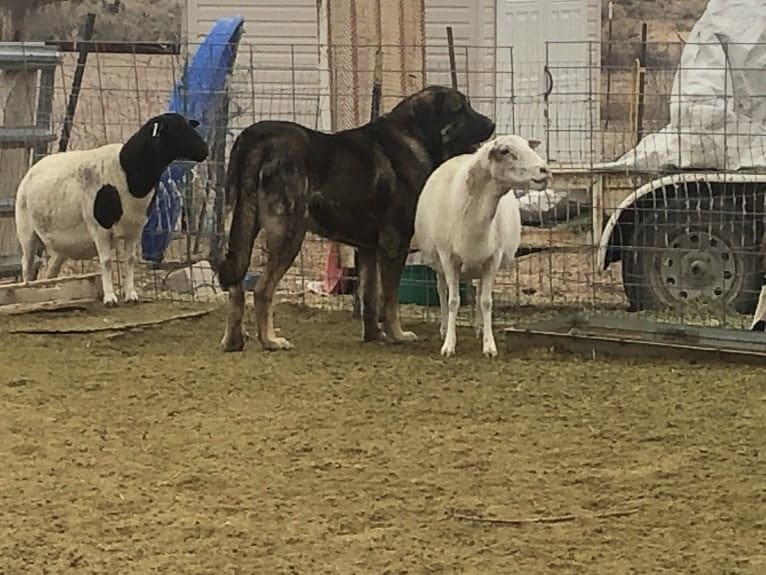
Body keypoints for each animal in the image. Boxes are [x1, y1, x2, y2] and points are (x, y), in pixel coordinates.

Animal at [15, 112, 207, 306]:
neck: (129, 172)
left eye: (189, 126)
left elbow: (129, 260)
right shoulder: (99, 228)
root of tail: (35, 167)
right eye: (175, 130)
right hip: (26, 231)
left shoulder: (135, 228)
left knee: (51, 271)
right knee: (27, 265)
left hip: (60, 245)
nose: (205, 150)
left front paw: (131, 294)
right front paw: (109, 298)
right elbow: (107, 262)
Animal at [214, 84, 498, 352]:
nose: (492, 124)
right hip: (289, 234)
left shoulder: (368, 249)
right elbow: (389, 298)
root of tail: (257, 137)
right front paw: (397, 334)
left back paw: (233, 341)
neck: (415, 136)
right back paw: (270, 341)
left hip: (240, 227)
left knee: (235, 288)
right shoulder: (394, 244)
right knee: (262, 290)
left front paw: (374, 335)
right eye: (460, 110)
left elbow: (369, 298)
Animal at [414, 136, 552, 358]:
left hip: (479, 263)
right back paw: (443, 328)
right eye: (504, 151)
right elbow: (453, 301)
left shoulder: (492, 259)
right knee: (442, 291)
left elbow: (486, 302)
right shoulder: (448, 258)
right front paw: (449, 345)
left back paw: (479, 328)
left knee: (479, 293)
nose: (545, 170)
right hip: (438, 263)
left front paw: (489, 345)